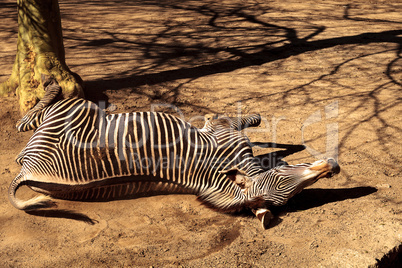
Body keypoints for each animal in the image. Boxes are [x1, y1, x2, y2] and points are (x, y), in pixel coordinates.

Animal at [7, 77, 340, 228]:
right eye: (284, 178)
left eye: (294, 196)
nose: (333, 167)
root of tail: (26, 172)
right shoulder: (223, 127)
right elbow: (248, 121)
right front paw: (264, 130)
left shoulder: (223, 130)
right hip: (75, 109)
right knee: (29, 119)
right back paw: (51, 85)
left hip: (72, 112)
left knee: (30, 120)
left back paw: (50, 87)